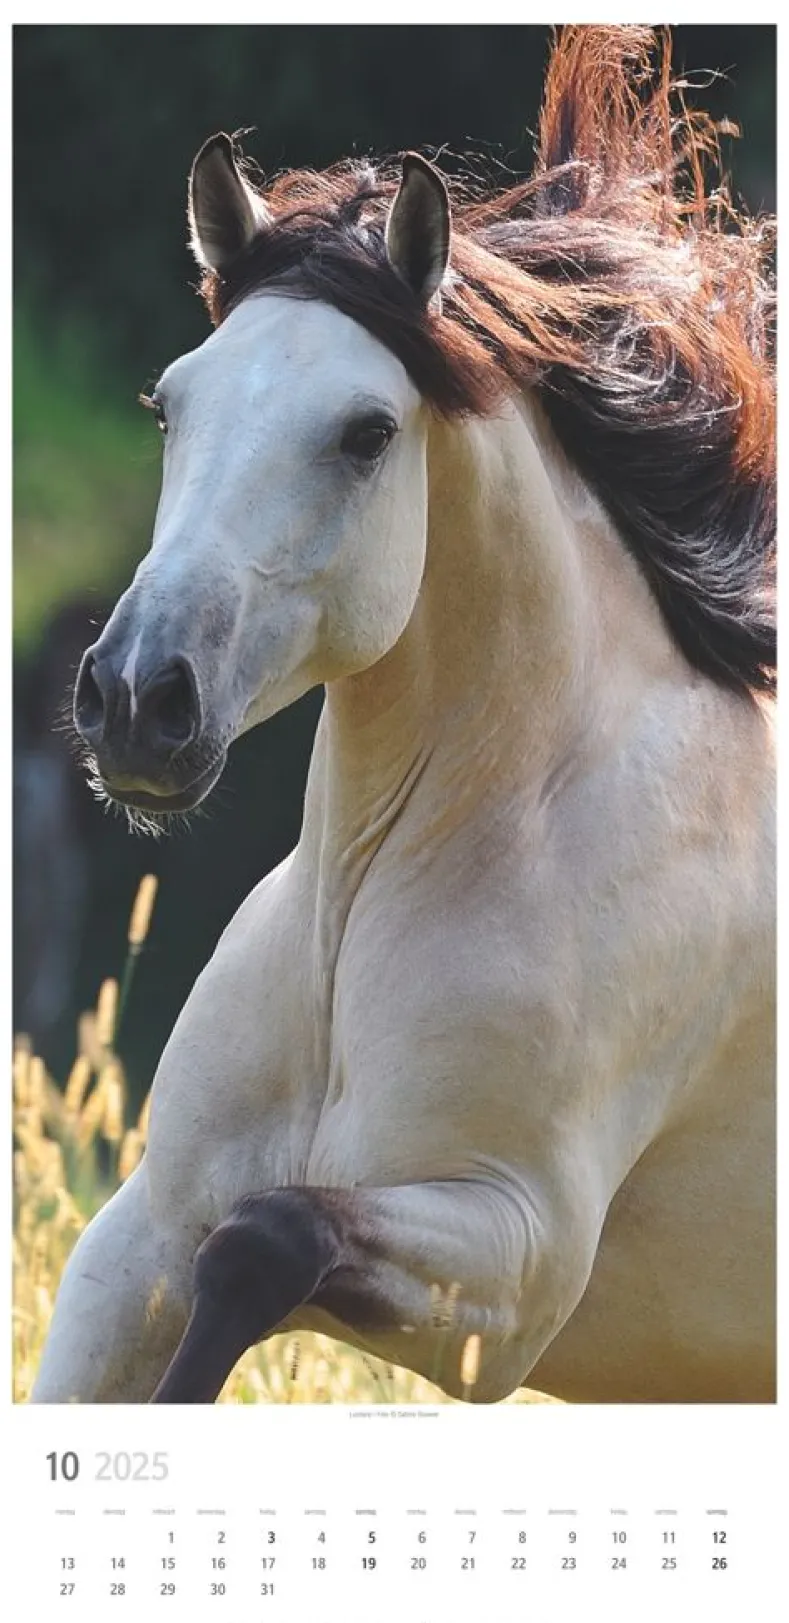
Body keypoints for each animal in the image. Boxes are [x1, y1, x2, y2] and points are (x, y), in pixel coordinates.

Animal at [31, 26, 775, 1405]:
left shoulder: (510, 1266)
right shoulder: (138, 1234)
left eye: (367, 431)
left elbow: (262, 1241)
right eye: (170, 404)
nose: (136, 700)